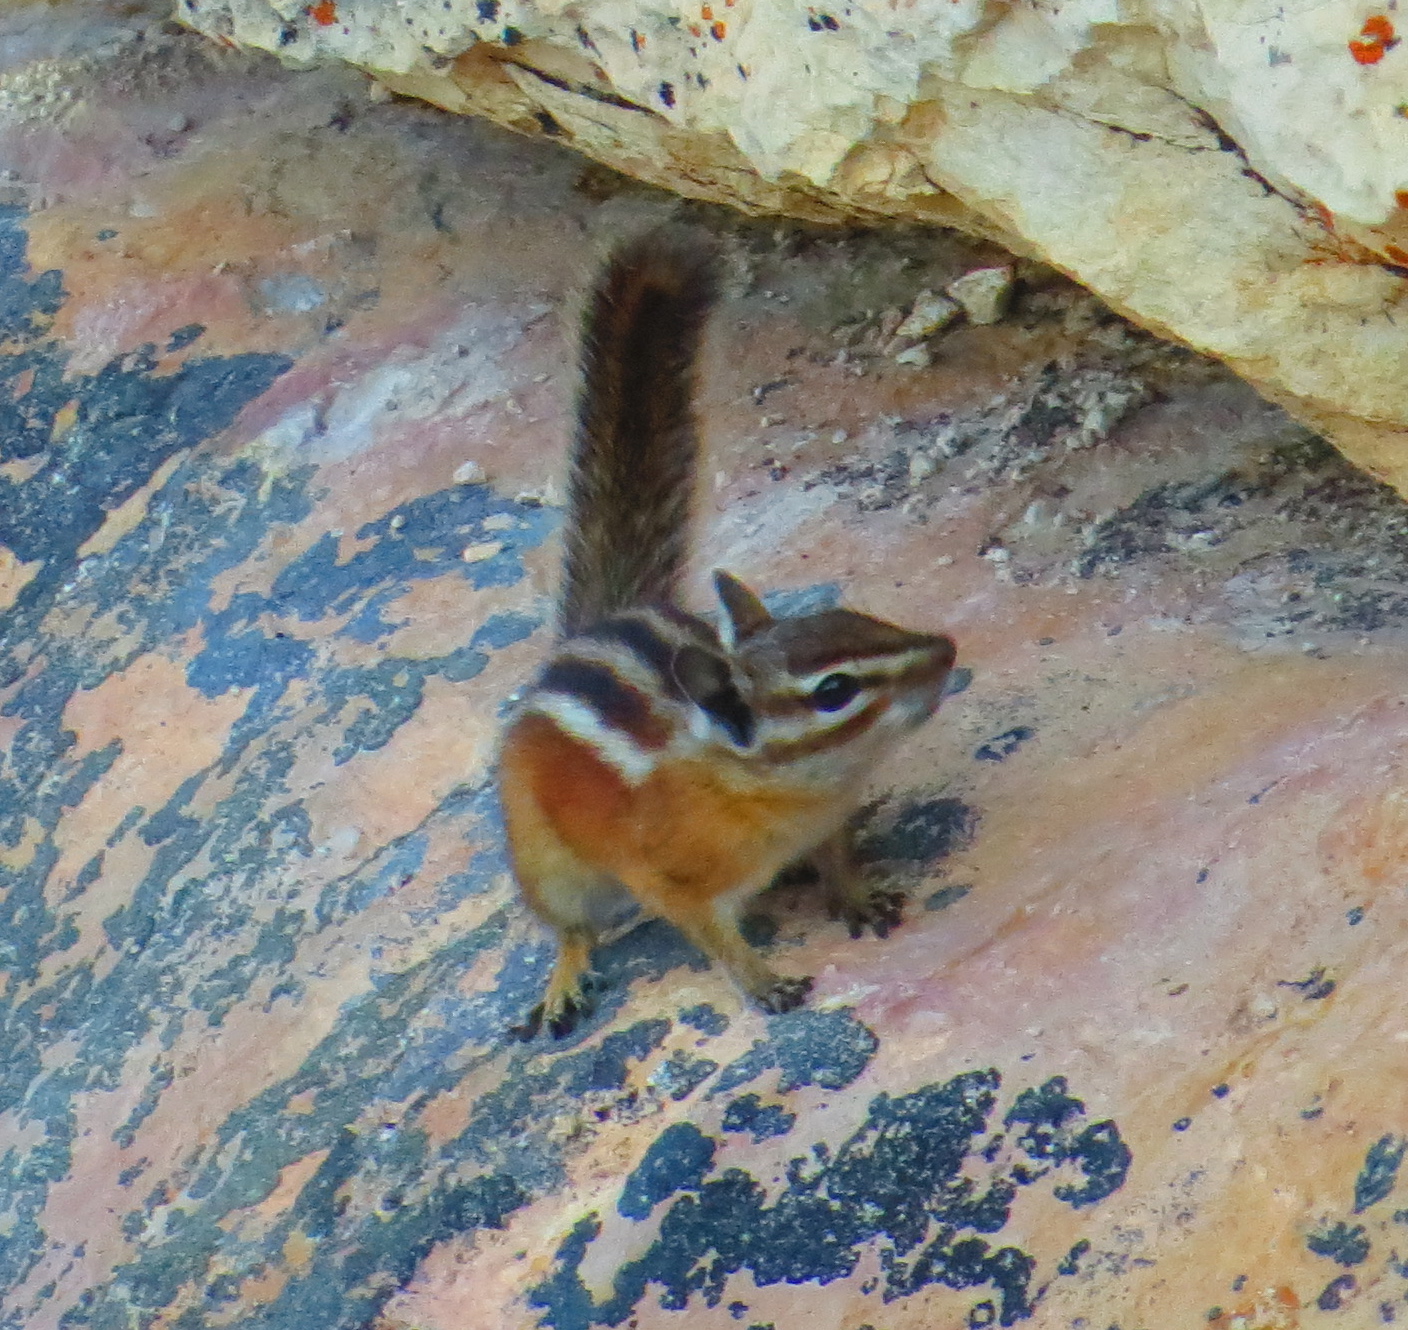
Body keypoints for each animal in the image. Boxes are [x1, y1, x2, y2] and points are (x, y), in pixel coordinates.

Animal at [498, 227, 957, 1039]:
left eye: (858, 618)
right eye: (833, 692)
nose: (947, 652)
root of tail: (579, 639)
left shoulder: (825, 824)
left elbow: (838, 859)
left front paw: (854, 894)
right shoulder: (668, 880)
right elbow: (713, 940)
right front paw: (764, 983)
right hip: (547, 861)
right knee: (569, 924)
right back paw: (564, 979)